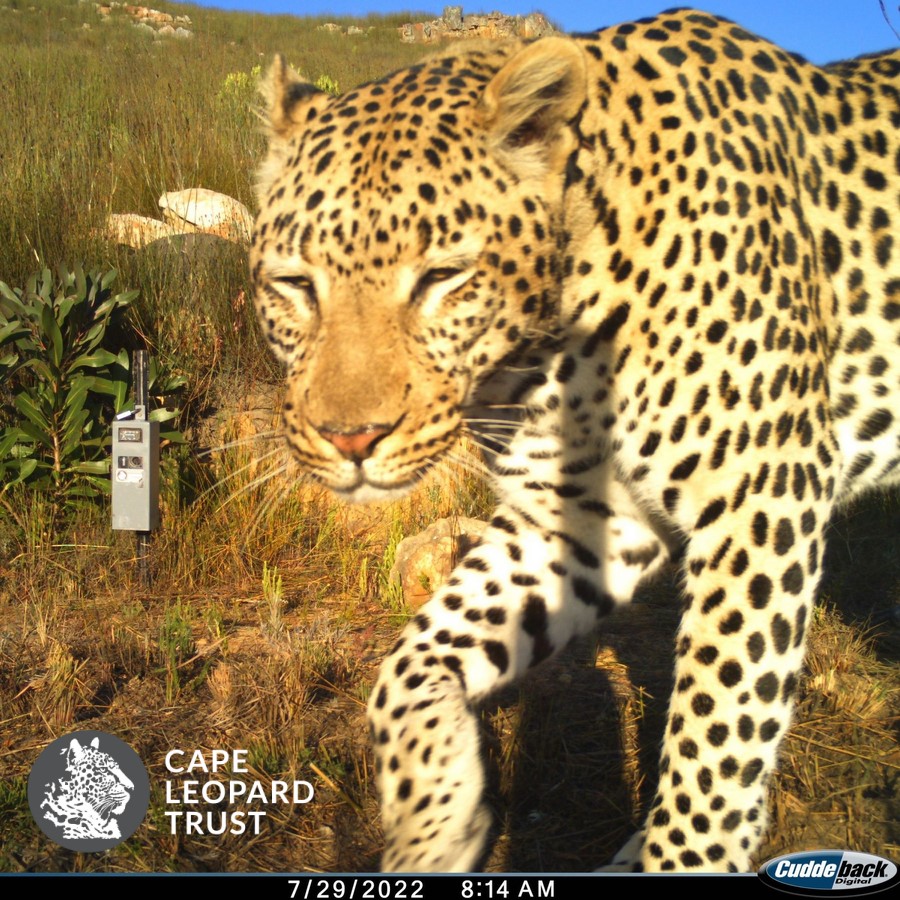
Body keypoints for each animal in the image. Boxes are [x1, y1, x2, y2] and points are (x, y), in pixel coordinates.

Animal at [250, 7, 900, 872]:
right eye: (293, 285)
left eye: (442, 279)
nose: (351, 439)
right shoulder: (578, 524)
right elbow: (408, 664)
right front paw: (436, 827)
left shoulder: (763, 493)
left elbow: (714, 752)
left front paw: (682, 853)